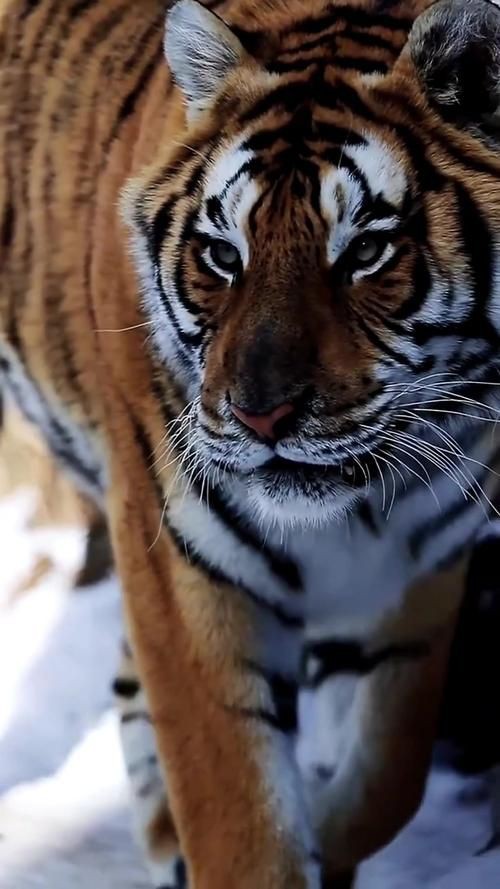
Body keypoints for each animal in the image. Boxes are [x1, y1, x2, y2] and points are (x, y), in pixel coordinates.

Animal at [1, 0, 500, 886]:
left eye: (366, 251)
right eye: (222, 255)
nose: (261, 417)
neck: (364, 508)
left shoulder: (416, 574)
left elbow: (390, 774)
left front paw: (325, 841)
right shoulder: (182, 569)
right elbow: (241, 821)